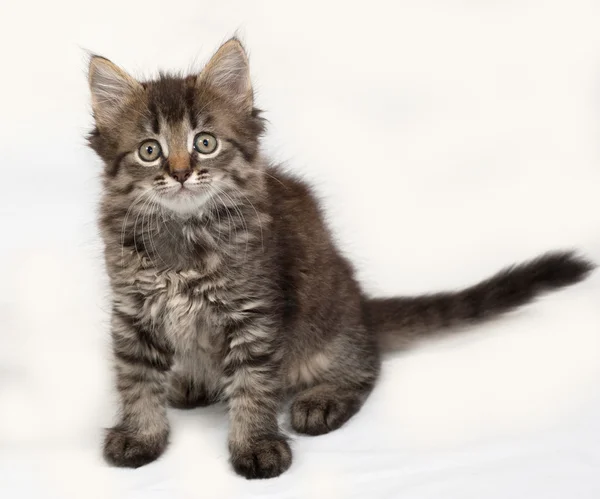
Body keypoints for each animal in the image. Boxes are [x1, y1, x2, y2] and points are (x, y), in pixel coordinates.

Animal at [86, 38, 592, 480]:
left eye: (205, 143)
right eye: (149, 151)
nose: (180, 173)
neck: (183, 236)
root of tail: (362, 306)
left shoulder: (255, 313)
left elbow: (253, 385)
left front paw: (256, 445)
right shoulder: (132, 312)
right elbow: (135, 378)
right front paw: (141, 435)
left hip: (327, 326)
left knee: (367, 365)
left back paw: (322, 399)